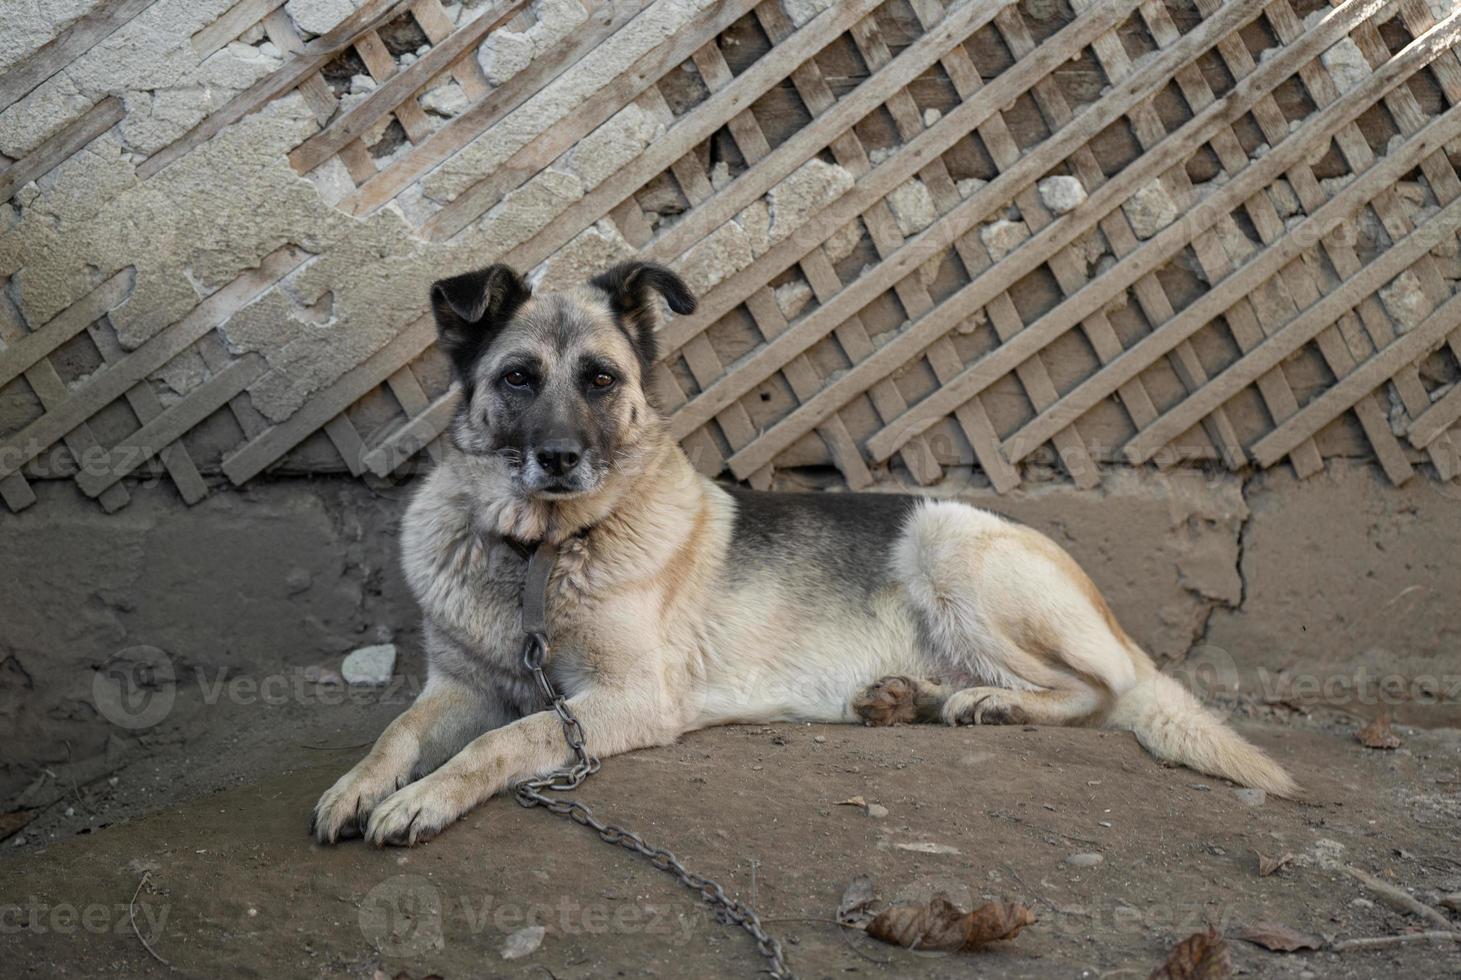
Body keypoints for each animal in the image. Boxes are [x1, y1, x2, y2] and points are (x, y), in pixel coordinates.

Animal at [314, 262, 1297, 852]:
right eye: (518, 378)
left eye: (599, 379)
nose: (559, 460)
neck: (536, 554)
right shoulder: (458, 686)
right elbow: (398, 732)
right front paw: (359, 786)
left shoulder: (623, 699)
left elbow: (505, 739)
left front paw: (422, 798)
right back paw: (913, 698)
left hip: (951, 546)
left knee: (1098, 695)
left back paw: (981, 704)